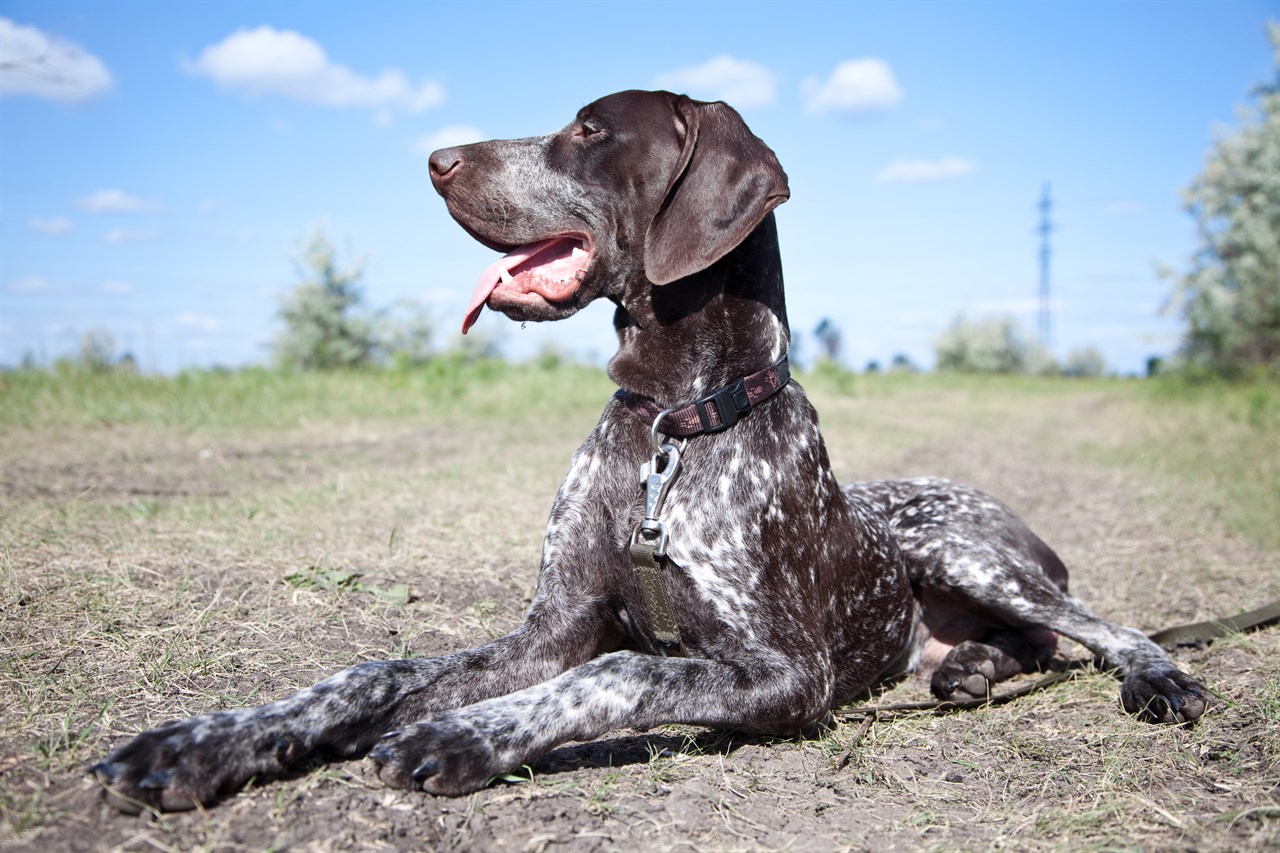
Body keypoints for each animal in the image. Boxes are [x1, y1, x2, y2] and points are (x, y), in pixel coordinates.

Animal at [90, 91, 1208, 809]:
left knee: (1099, 628)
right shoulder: (547, 629)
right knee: (1027, 644)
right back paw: (969, 668)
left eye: (588, 131)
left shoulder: (783, 671)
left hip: (965, 548)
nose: (435, 159)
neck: (671, 421)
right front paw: (198, 743)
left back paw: (1150, 678)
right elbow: (370, 672)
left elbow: (617, 671)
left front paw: (458, 735)